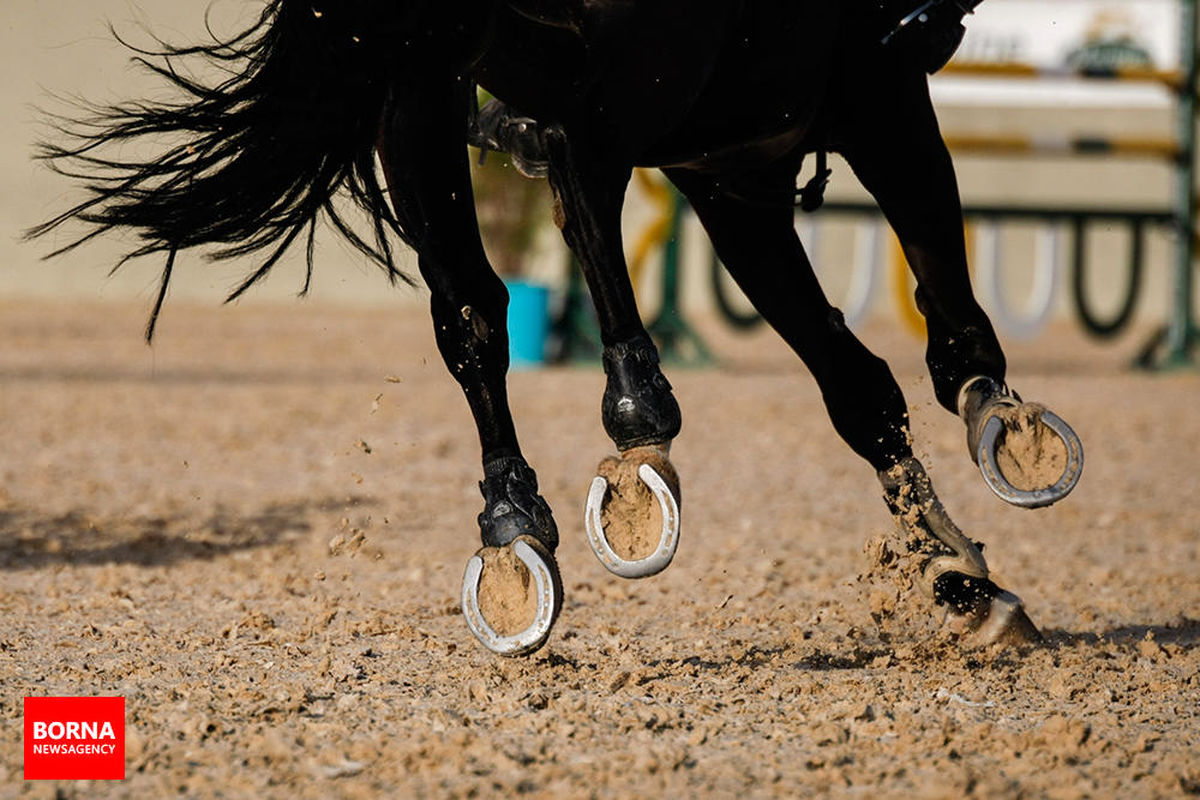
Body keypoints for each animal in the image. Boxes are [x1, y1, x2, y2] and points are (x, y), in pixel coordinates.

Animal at [28, 0, 1084, 657]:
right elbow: (942, 317)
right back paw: (634, 415)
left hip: (421, 69)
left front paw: (962, 577)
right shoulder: (864, 96)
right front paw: (1002, 439)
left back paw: (515, 521)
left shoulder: (732, 172)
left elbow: (857, 387)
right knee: (580, 155)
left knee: (473, 307)